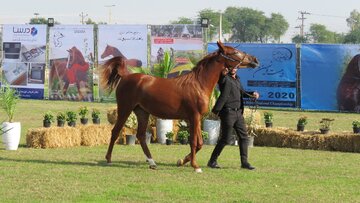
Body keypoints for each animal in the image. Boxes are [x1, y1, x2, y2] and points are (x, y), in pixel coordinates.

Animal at [101, 41, 258, 173]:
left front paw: (182, 161)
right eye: (235, 52)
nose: (255, 60)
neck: (198, 84)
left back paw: (152, 163)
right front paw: (195, 166)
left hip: (142, 112)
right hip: (125, 109)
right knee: (115, 131)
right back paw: (108, 159)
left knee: (140, 136)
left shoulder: (195, 118)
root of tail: (124, 76)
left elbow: (200, 143)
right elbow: (194, 141)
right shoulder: (193, 116)